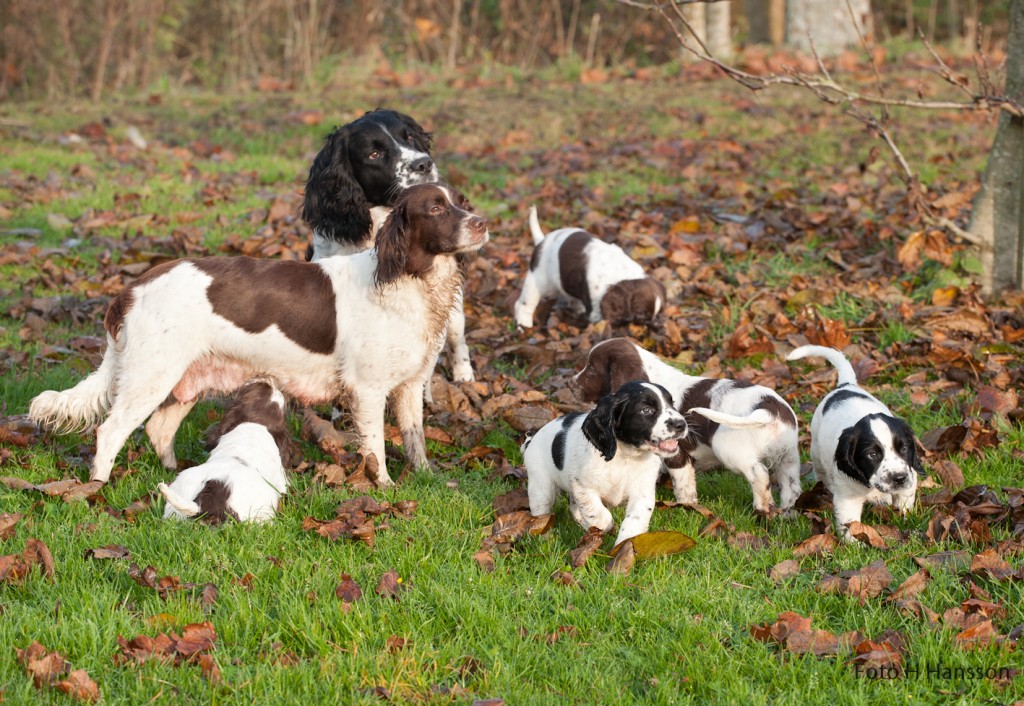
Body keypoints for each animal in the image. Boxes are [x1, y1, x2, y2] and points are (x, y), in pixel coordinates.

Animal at [28, 184, 483, 487]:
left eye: (462, 203)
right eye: (436, 207)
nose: (482, 223)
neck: (407, 280)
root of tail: (131, 289)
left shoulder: (409, 384)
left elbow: (414, 437)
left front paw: (426, 478)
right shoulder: (367, 389)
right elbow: (375, 445)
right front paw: (384, 487)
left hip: (183, 380)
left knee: (159, 430)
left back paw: (178, 471)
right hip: (150, 375)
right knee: (110, 431)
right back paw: (98, 487)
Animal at [509, 206, 663, 327]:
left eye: (657, 314)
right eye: (642, 315)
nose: (654, 324)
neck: (621, 274)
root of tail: (541, 241)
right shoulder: (596, 308)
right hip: (539, 281)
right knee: (524, 304)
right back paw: (524, 325)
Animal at [520, 379, 688, 545]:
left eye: (672, 404)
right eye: (646, 410)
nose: (681, 424)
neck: (625, 457)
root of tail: (531, 440)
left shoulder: (642, 489)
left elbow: (634, 519)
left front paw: (625, 545)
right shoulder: (583, 486)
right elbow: (598, 513)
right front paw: (605, 526)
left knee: (573, 507)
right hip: (541, 485)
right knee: (541, 512)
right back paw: (544, 537)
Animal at [577, 336, 798, 512]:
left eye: (591, 369)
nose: (572, 382)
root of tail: (768, 406)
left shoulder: (676, 453)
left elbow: (683, 483)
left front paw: (686, 506)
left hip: (729, 449)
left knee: (759, 474)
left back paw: (762, 507)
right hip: (788, 455)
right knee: (791, 485)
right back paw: (787, 512)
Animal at [786, 342, 925, 541]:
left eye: (904, 448)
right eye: (872, 455)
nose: (899, 478)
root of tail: (846, 385)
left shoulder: (909, 477)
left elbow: (904, 502)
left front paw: (905, 521)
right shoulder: (847, 495)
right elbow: (850, 523)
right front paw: (855, 543)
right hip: (817, 453)